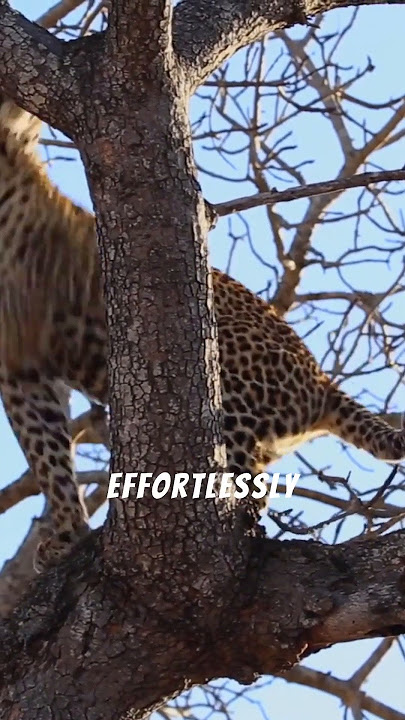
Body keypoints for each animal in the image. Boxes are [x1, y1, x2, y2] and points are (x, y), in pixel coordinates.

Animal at [1, 95, 404, 573]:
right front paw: (68, 534)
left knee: (248, 482)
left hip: (231, 384)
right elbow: (48, 454)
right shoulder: (21, 370)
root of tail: (323, 384)